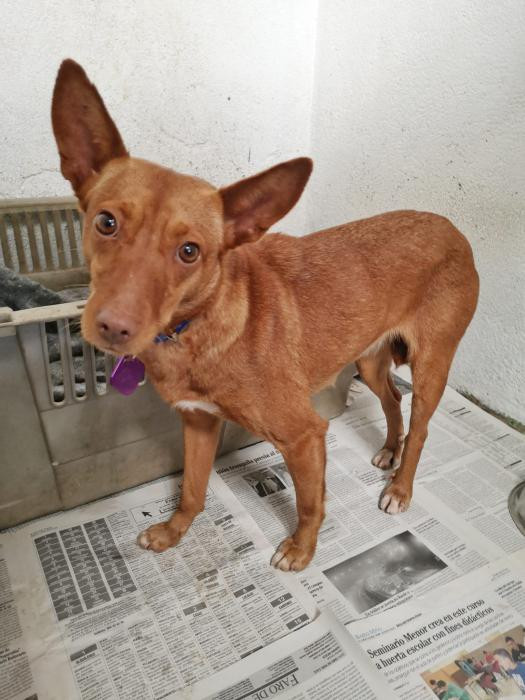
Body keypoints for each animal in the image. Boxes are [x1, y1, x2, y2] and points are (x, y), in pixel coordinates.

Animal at [51, 60, 479, 572]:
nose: (114, 328)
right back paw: (388, 451)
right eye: (106, 222)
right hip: (368, 360)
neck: (200, 326)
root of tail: (452, 227)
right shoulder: (198, 423)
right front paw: (174, 532)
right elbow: (192, 489)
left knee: (421, 427)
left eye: (190, 251)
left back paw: (400, 487)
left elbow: (310, 503)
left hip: (432, 363)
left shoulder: (305, 434)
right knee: (393, 399)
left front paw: (302, 549)